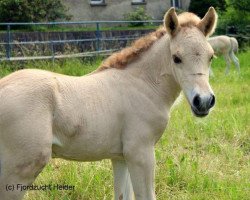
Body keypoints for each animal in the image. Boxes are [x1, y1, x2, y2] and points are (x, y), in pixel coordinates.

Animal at [0, 6, 217, 200]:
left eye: (211, 57)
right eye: (176, 58)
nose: (204, 101)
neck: (143, 85)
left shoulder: (121, 157)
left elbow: (122, 196)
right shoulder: (140, 153)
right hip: (20, 169)